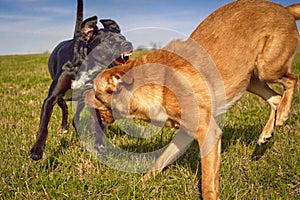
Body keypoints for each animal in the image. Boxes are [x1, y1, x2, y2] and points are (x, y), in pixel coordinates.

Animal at [30, 0, 132, 160]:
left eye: (123, 38)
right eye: (109, 41)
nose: (128, 44)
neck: (86, 64)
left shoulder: (91, 97)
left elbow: (98, 123)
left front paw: (100, 145)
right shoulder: (51, 98)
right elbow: (43, 126)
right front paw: (37, 150)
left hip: (81, 98)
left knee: (75, 116)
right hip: (61, 96)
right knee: (65, 108)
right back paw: (63, 128)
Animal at [84, 0, 300, 199]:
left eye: (94, 88)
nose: (82, 93)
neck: (157, 86)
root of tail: (284, 8)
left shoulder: (208, 133)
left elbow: (207, 183)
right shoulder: (184, 134)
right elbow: (160, 160)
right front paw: (141, 184)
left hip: (267, 68)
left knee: (291, 81)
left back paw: (283, 115)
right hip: (252, 79)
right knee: (276, 98)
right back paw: (266, 133)